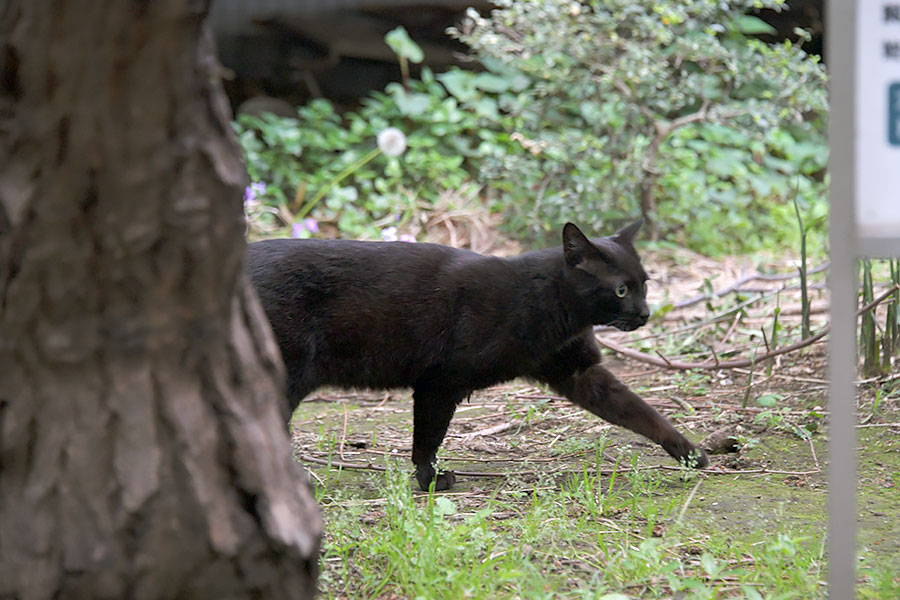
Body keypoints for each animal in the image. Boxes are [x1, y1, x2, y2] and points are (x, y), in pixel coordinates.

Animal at [248, 223, 712, 490]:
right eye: (620, 289)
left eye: (645, 283)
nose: (645, 313)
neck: (547, 304)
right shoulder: (440, 382)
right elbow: (428, 438)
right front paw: (431, 481)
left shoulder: (580, 372)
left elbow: (641, 412)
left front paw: (688, 452)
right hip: (285, 372)